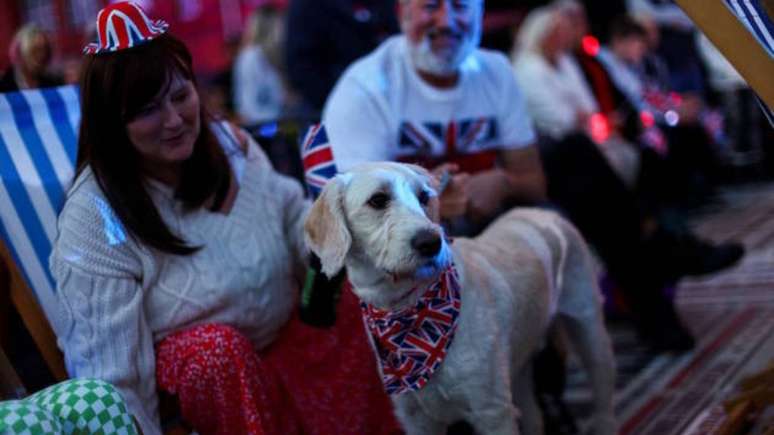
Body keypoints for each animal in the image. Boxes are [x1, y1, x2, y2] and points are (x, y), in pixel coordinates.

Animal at [306, 163, 616, 435]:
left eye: (424, 197)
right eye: (378, 200)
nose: (431, 243)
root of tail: (540, 213)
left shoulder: (492, 412)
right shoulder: (415, 419)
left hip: (589, 331)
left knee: (603, 395)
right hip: (520, 365)